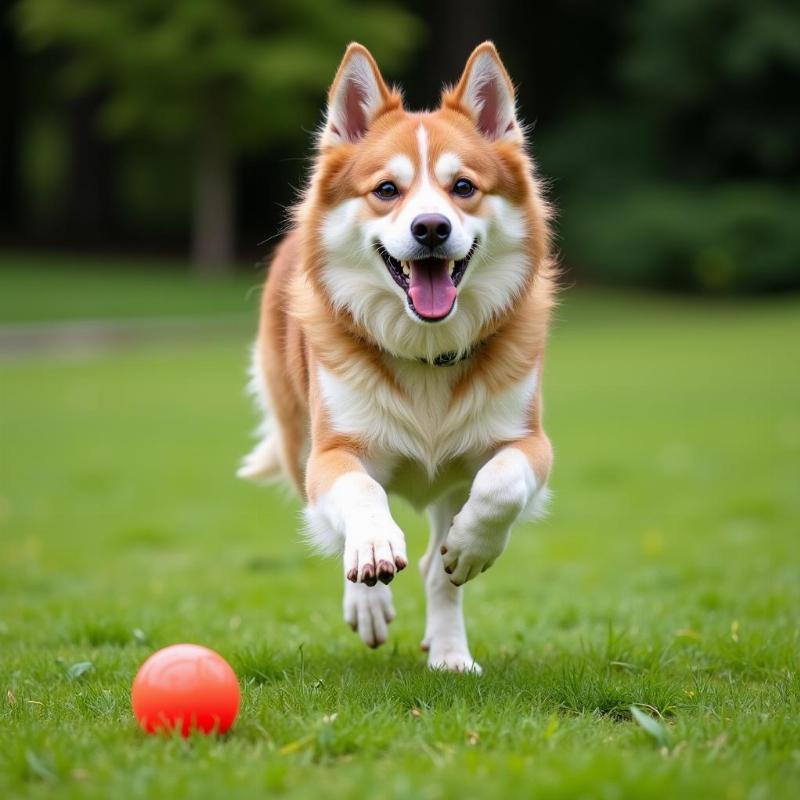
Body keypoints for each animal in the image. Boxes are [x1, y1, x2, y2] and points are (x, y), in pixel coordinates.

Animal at [239, 40, 556, 672]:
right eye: (387, 190)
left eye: (464, 188)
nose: (431, 228)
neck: (426, 351)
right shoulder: (332, 453)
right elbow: (360, 496)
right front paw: (373, 553)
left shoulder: (530, 444)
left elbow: (500, 486)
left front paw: (472, 546)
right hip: (295, 438)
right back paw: (370, 599)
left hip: (450, 485)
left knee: (439, 567)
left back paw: (450, 650)